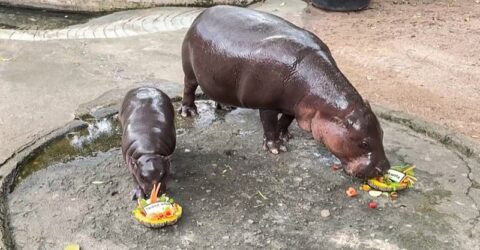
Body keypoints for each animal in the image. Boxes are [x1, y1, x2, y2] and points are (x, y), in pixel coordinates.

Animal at [180, 5, 390, 178]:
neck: (324, 102)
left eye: (382, 133)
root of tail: (202, 14)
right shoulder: (267, 104)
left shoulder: (295, 105)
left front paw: (285, 136)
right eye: (363, 143)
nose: (385, 168)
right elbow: (269, 124)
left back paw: (225, 106)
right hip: (189, 70)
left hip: (217, 77)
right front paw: (276, 148)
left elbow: (286, 120)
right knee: (188, 88)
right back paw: (189, 112)